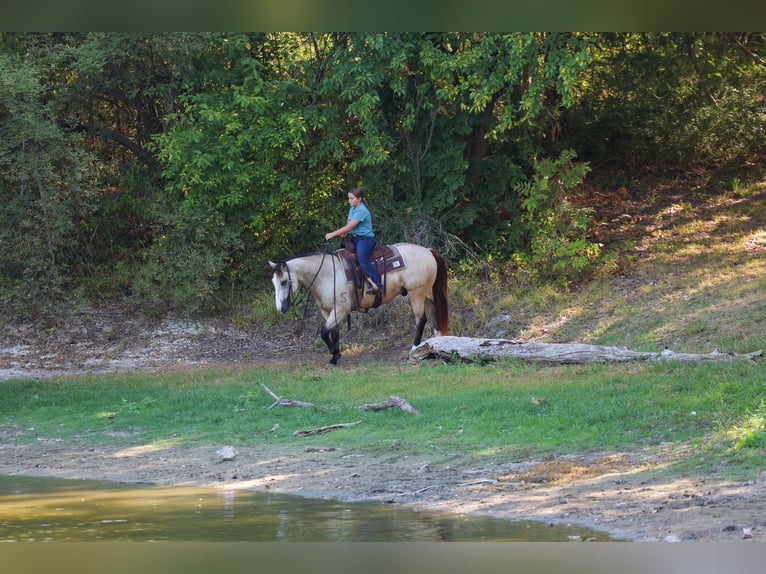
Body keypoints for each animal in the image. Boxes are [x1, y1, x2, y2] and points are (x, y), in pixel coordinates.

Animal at [269, 243, 449, 365]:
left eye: (284, 282)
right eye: (273, 282)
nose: (280, 308)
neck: (326, 274)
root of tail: (428, 250)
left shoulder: (341, 310)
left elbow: (324, 332)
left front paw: (335, 355)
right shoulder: (328, 311)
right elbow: (333, 333)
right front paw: (335, 356)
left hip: (415, 293)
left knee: (421, 319)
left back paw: (414, 348)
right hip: (419, 294)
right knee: (433, 309)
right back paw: (437, 340)